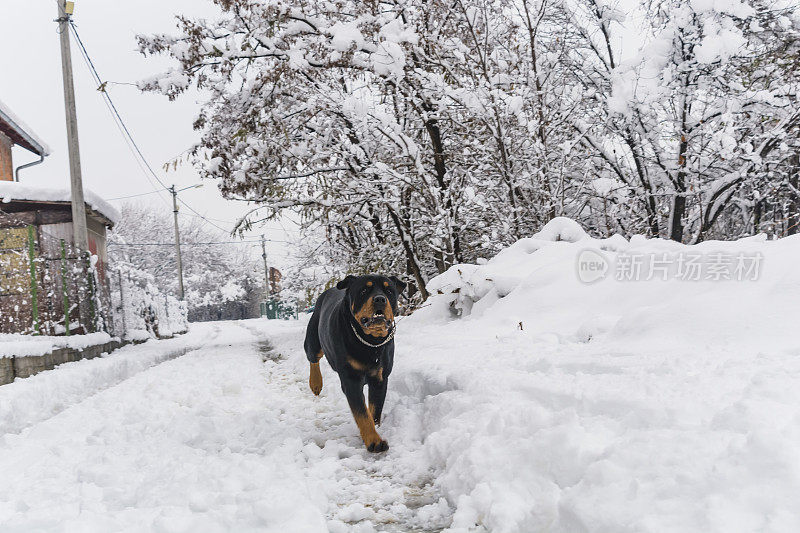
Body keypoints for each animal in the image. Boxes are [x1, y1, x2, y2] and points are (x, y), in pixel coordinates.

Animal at [304, 274, 410, 454]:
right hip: (313, 340)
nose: (380, 299)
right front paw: (374, 441)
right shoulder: (351, 380)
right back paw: (316, 383)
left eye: (389, 290)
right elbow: (362, 413)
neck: (370, 341)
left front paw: (375, 429)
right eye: (364, 290)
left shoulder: (380, 379)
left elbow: (374, 411)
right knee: (313, 358)